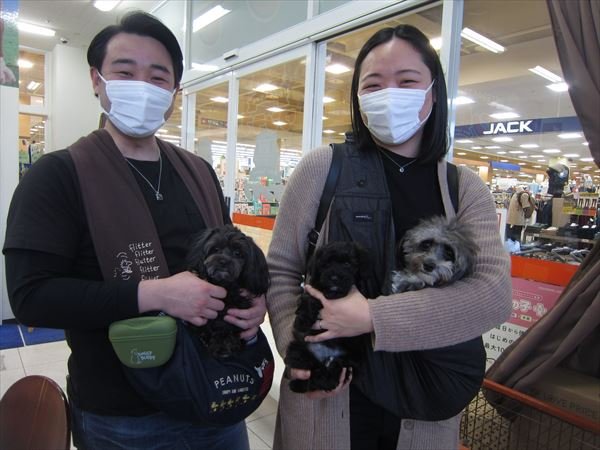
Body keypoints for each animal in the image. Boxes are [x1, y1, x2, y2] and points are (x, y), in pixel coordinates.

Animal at [186, 224, 270, 358]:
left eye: (237, 253)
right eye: (215, 249)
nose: (223, 261)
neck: (225, 287)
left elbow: (226, 328)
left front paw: (225, 345)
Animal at [285, 241, 373, 393]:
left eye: (347, 264)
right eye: (325, 265)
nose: (334, 278)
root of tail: (324, 358)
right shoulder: (313, 288)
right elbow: (309, 299)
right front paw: (302, 322)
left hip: (349, 361)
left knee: (330, 375)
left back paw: (324, 379)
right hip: (298, 349)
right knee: (311, 372)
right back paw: (298, 384)